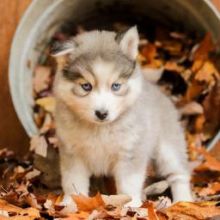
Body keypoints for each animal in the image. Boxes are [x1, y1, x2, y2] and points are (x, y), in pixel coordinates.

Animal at [51, 26, 192, 208]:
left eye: (116, 86)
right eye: (86, 86)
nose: (102, 113)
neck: (100, 130)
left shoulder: (130, 152)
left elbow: (128, 184)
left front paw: (131, 206)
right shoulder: (72, 153)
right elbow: (73, 181)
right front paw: (71, 203)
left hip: (167, 150)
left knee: (179, 174)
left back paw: (184, 201)